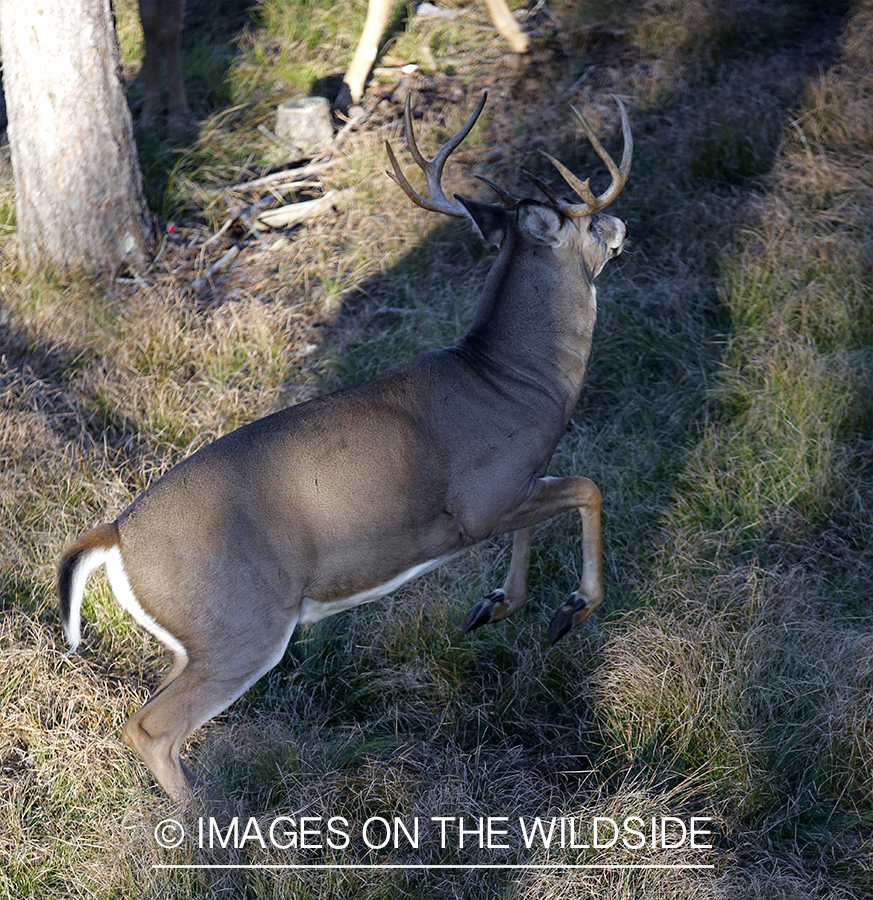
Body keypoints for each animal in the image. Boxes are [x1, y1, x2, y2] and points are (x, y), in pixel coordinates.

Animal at [58, 93, 632, 808]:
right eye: (583, 216)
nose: (620, 225)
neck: (514, 380)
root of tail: (115, 536)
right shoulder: (483, 499)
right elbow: (589, 488)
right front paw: (572, 608)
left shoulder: (514, 485)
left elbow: (547, 513)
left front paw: (498, 605)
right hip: (242, 626)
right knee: (151, 727)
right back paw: (216, 822)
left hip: (195, 641)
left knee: (149, 714)